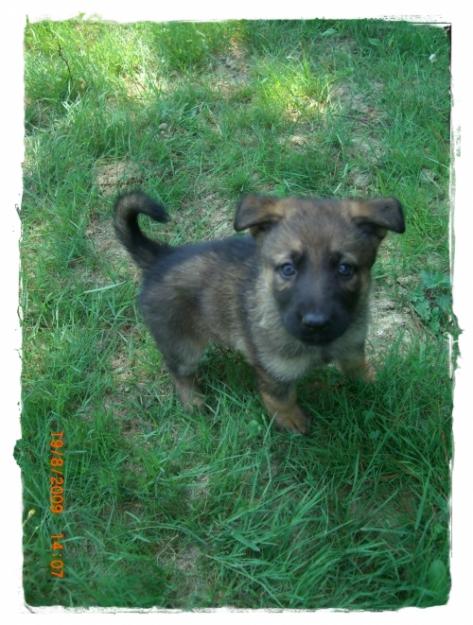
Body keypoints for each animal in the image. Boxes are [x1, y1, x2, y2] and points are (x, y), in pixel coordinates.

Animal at [112, 191, 404, 434]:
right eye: (287, 269)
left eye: (345, 269)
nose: (316, 323)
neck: (320, 346)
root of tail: (160, 257)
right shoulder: (273, 370)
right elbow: (281, 398)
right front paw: (291, 420)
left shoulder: (352, 345)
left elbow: (358, 367)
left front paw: (373, 384)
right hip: (181, 343)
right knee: (178, 371)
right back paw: (193, 400)